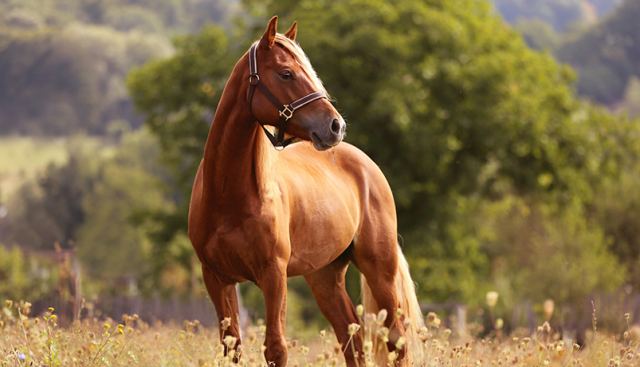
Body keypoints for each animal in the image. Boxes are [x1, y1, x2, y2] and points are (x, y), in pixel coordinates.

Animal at [188, 15, 422, 366]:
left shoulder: (273, 275)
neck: (230, 196)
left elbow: (276, 348)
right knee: (351, 337)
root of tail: (367, 165)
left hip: (379, 269)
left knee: (395, 341)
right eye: (286, 73)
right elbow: (232, 348)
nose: (336, 126)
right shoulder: (217, 278)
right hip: (324, 276)